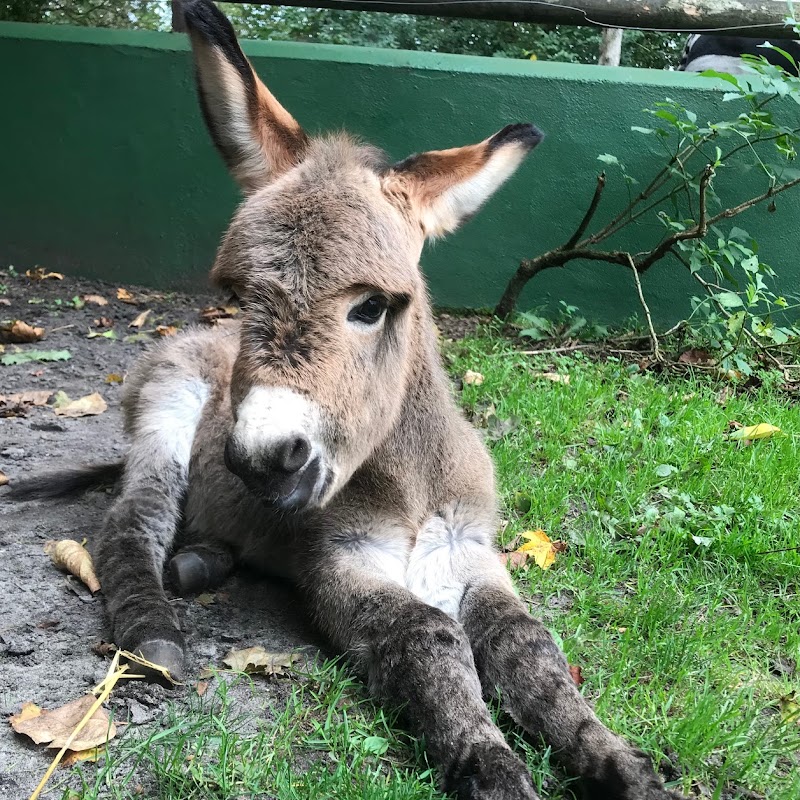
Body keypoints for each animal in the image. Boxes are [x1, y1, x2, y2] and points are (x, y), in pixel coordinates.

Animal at [14, 3, 680, 796]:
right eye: (239, 298)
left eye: (372, 307)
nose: (263, 460)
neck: (413, 487)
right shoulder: (339, 563)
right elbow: (429, 633)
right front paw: (491, 765)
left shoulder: (469, 551)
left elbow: (530, 646)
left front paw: (620, 763)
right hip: (167, 408)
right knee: (131, 522)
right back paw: (155, 628)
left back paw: (202, 562)